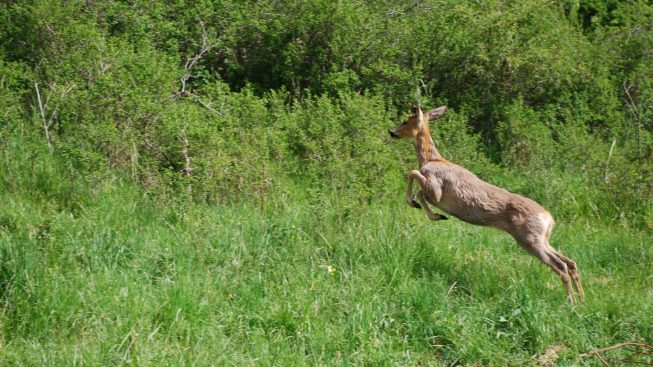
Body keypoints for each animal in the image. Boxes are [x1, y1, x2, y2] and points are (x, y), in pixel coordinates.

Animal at [388, 103, 584, 304]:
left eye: (405, 120)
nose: (392, 132)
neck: (431, 159)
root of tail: (549, 218)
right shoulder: (433, 192)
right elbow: (419, 189)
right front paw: (436, 214)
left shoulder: (436, 188)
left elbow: (413, 174)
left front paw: (419, 206)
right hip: (542, 239)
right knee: (571, 263)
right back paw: (582, 300)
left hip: (529, 238)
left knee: (561, 266)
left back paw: (572, 302)